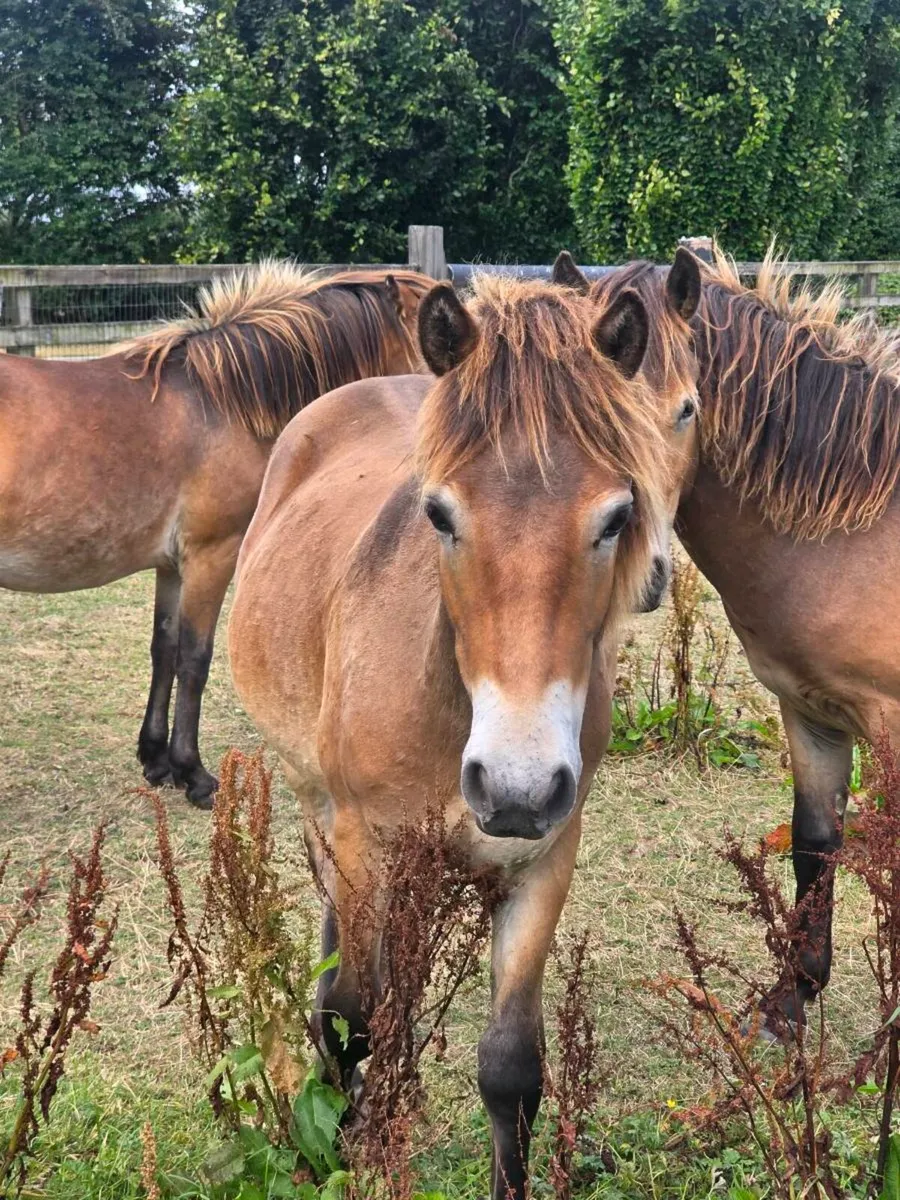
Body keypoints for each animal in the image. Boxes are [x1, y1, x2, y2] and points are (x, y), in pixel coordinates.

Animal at [0, 263, 429, 807]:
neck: (222, 402)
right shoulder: (212, 555)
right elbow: (195, 658)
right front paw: (195, 774)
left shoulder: (172, 565)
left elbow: (164, 650)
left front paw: (157, 760)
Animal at [228, 265, 701, 1199]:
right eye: (440, 514)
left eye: (613, 517)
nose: (515, 786)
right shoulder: (367, 844)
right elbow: (357, 1017)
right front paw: (345, 1148)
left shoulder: (545, 858)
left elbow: (511, 1067)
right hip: (316, 805)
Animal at [556, 244, 900, 1030]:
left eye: (688, 409)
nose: (640, 574)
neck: (854, 528)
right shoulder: (812, 714)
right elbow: (814, 846)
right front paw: (792, 997)